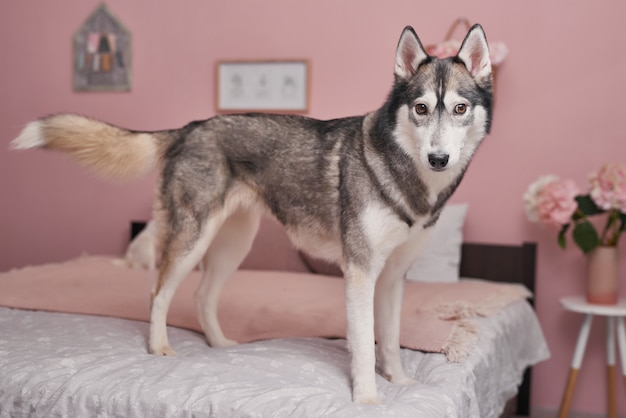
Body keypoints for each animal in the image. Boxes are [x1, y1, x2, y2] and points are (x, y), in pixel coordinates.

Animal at [7, 24, 490, 404]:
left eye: (460, 108)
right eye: (421, 108)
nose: (439, 159)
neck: (407, 176)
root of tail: (188, 128)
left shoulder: (391, 277)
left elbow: (388, 339)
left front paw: (402, 383)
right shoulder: (360, 272)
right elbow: (364, 346)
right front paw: (369, 399)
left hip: (233, 243)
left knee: (202, 297)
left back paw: (219, 344)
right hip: (193, 237)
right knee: (157, 292)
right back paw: (159, 347)